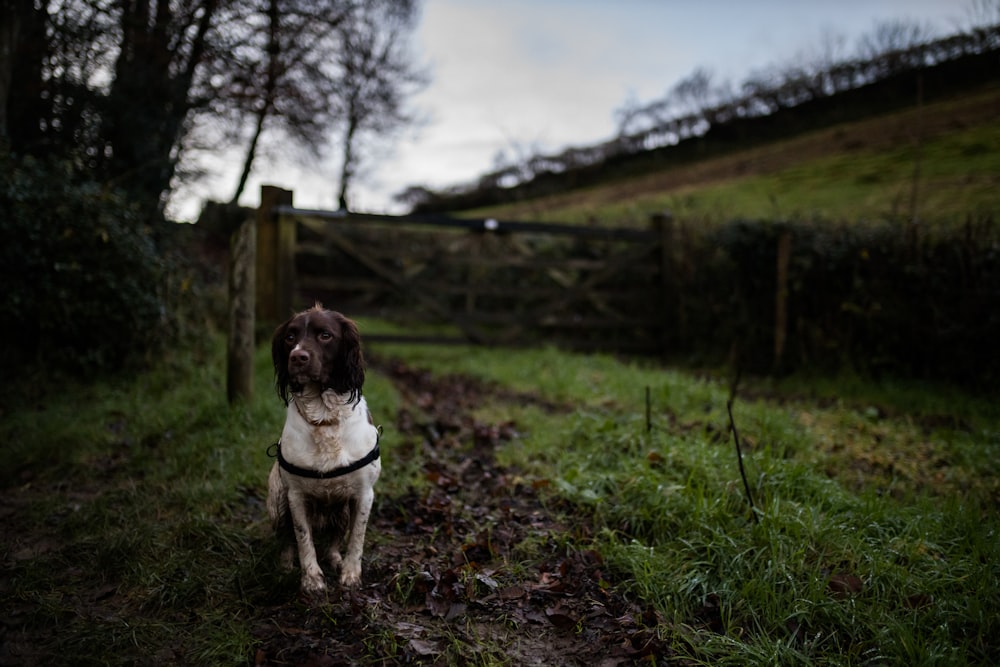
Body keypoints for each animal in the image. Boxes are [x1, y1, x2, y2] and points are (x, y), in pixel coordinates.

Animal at [268, 304, 380, 596]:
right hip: (277, 503)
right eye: (290, 337)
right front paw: (311, 579)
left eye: (325, 335)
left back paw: (335, 559)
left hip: (342, 511)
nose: (297, 357)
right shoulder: (295, 495)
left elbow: (356, 538)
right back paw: (285, 566)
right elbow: (302, 538)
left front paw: (350, 574)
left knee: (333, 540)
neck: (324, 417)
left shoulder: (364, 493)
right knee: (286, 538)